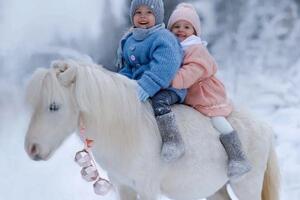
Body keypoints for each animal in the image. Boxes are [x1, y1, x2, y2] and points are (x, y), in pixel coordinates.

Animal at [24, 60, 280, 199]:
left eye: (54, 106)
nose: (31, 148)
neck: (128, 130)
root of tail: (265, 126)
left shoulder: (147, 188)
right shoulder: (123, 186)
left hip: (247, 187)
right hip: (215, 189)